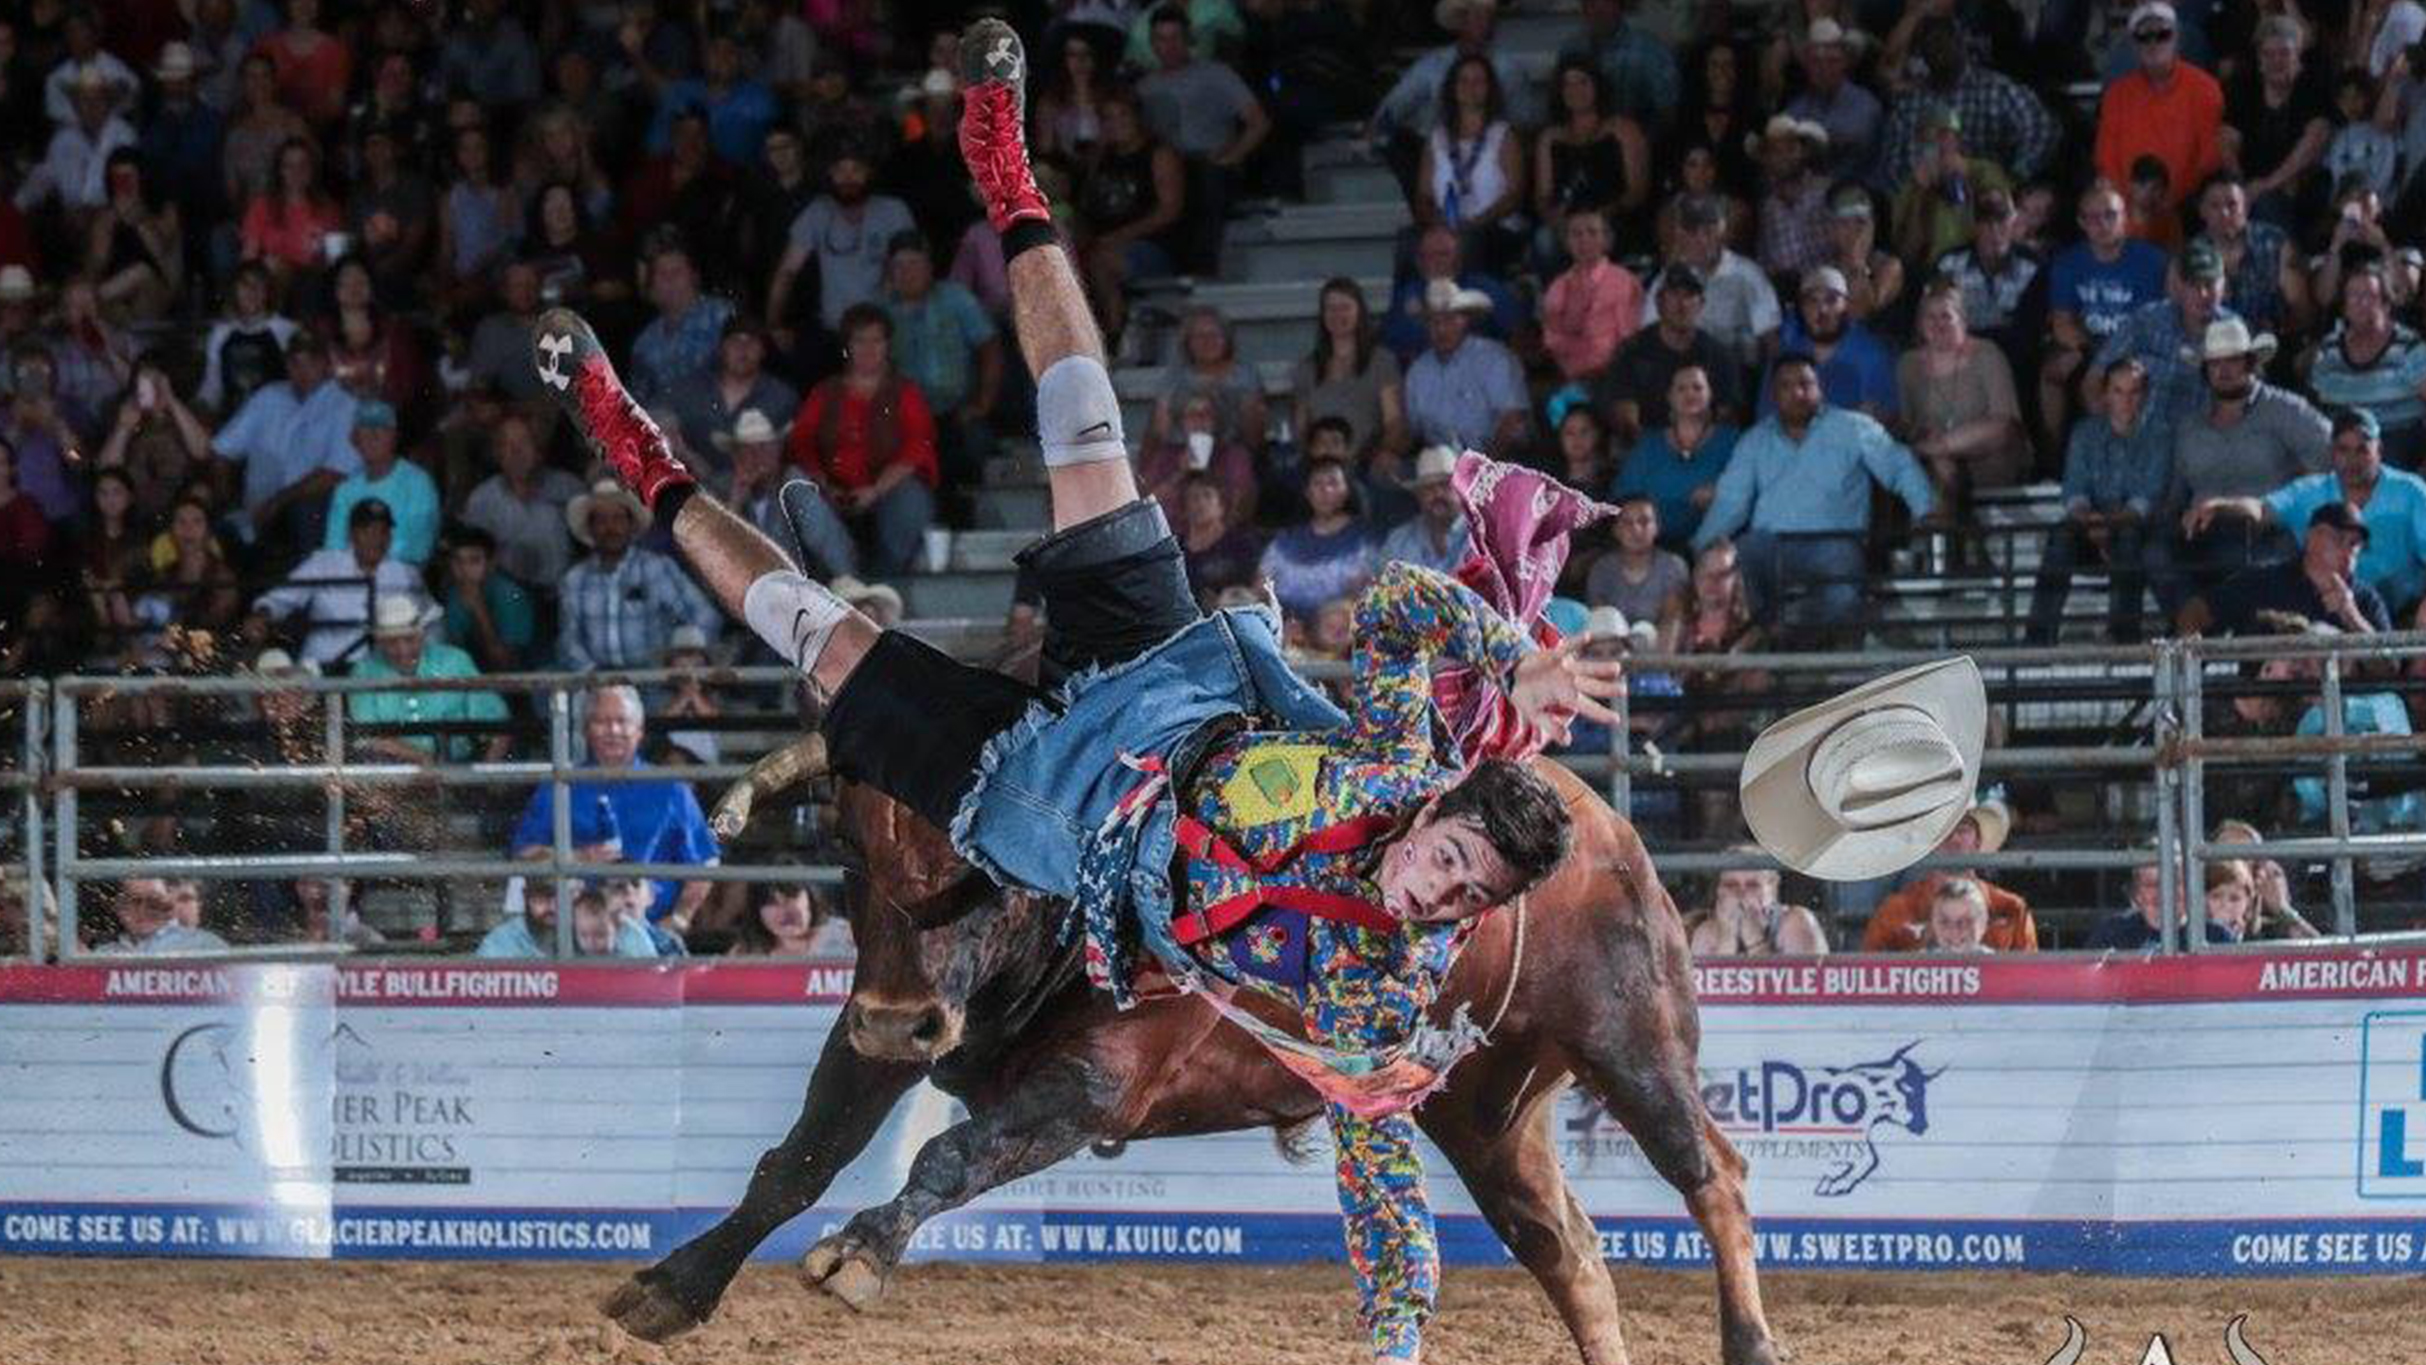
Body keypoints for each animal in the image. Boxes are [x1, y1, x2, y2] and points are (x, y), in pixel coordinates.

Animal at [606, 751, 1785, 1357]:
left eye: (981, 859)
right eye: (848, 847)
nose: (902, 1016)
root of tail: (1600, 828)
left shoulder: (1097, 1089)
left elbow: (947, 1157)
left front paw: (860, 1253)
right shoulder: (875, 1040)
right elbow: (792, 1165)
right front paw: (675, 1283)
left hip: (1631, 1043)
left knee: (1715, 1176)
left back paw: (1750, 1339)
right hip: (1486, 1115)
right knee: (1569, 1251)